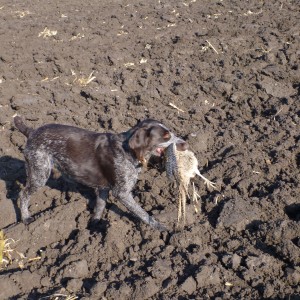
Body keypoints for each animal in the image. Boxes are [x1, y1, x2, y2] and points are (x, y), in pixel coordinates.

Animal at [14, 116, 188, 231]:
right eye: (165, 137)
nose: (185, 144)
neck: (128, 151)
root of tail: (32, 132)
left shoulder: (103, 188)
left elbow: (99, 206)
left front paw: (94, 226)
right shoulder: (122, 193)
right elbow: (143, 213)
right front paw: (160, 227)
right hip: (40, 172)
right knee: (23, 194)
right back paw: (26, 218)